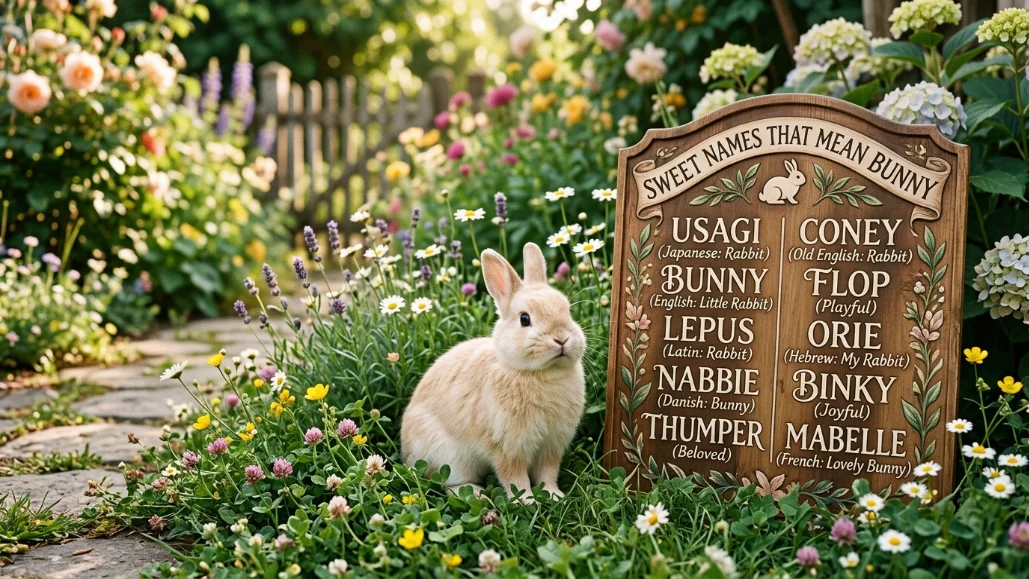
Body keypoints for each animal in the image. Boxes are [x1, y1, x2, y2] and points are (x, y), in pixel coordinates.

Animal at [400, 242, 586, 501]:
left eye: (567, 311)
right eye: (525, 319)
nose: (561, 338)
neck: (540, 373)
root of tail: (406, 453)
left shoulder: (551, 447)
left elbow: (548, 473)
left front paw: (554, 495)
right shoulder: (507, 447)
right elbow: (515, 478)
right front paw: (527, 502)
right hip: (450, 458)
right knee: (449, 484)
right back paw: (477, 494)